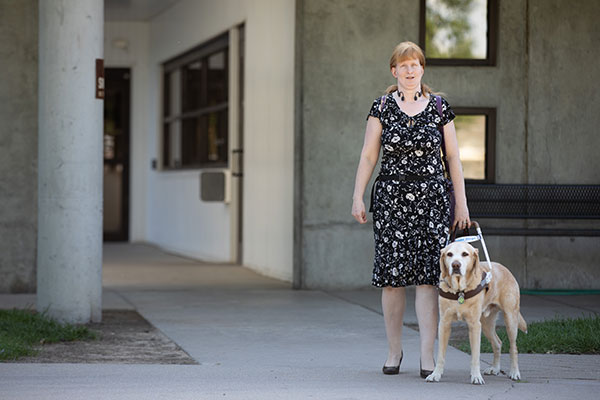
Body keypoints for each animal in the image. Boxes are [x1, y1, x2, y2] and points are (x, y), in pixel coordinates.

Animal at [426, 241, 524, 384]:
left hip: (510, 319)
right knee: (498, 343)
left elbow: (475, 356)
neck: (459, 291)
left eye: (465, 254)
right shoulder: (444, 324)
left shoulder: (474, 325)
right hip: (487, 324)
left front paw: (476, 376)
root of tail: (503, 267)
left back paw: (515, 372)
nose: (456, 265)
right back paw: (495, 368)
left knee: (513, 347)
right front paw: (435, 374)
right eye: (449, 254)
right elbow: (440, 355)